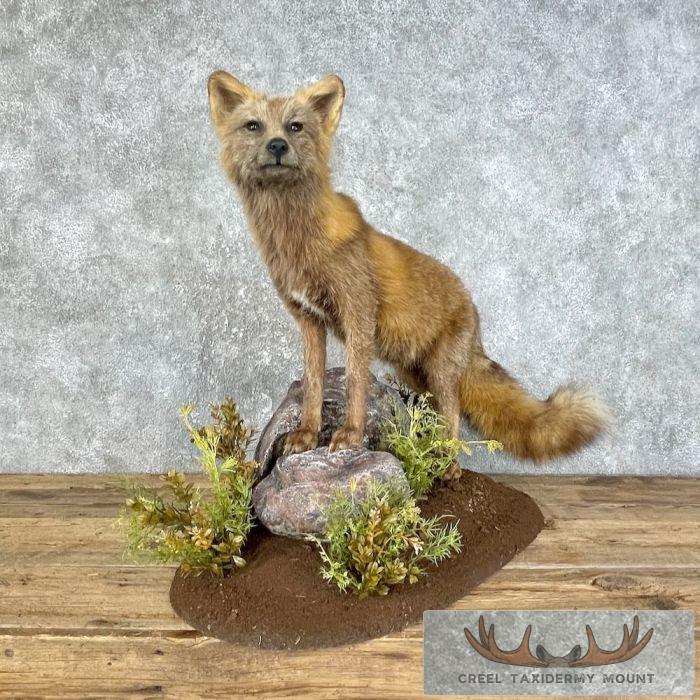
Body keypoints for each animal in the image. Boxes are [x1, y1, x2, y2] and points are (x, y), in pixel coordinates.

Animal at [207, 71, 610, 475]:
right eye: (254, 126)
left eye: (295, 126)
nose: (277, 145)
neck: (297, 242)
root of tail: (471, 305)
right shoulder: (308, 319)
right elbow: (313, 384)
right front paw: (306, 434)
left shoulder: (358, 313)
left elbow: (355, 382)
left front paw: (351, 435)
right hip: (416, 376)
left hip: (442, 375)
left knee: (453, 415)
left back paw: (447, 465)